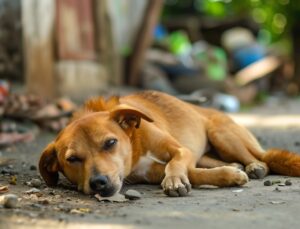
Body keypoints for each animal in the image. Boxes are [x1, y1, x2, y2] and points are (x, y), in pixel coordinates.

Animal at [38, 91, 300, 197]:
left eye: (110, 142)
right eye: (72, 159)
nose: (98, 183)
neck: (135, 144)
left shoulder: (180, 150)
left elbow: (175, 165)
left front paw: (174, 180)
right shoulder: (150, 172)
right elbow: (194, 173)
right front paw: (228, 175)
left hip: (222, 134)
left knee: (260, 158)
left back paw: (255, 166)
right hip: (207, 151)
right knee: (212, 162)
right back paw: (235, 166)